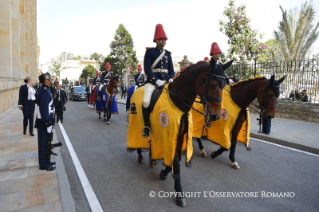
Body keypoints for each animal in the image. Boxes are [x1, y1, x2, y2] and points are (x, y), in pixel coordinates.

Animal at [129, 58, 234, 207]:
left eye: (224, 85)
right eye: (213, 84)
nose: (215, 115)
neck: (178, 102)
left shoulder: (179, 136)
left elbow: (176, 159)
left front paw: (164, 172)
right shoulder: (172, 134)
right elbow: (176, 163)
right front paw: (179, 194)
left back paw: (152, 160)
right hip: (137, 123)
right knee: (139, 138)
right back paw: (140, 156)